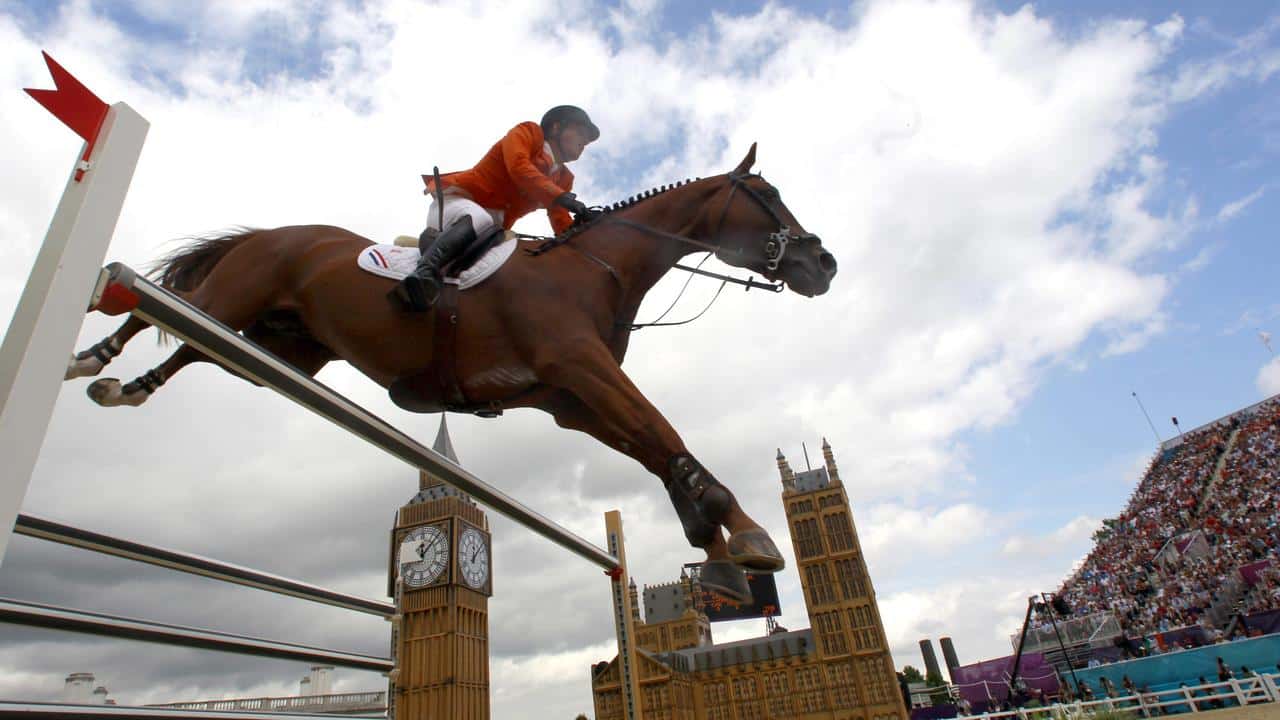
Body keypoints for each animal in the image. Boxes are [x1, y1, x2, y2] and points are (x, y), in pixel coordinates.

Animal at [67, 142, 839, 597]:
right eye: (768, 194)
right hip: (238, 296)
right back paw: (92, 352)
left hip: (276, 350)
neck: (599, 271)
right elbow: (664, 432)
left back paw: (124, 387)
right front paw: (746, 533)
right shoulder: (582, 370)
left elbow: (657, 450)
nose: (823, 263)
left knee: (193, 343)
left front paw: (717, 551)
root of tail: (275, 234)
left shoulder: (571, 401)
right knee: (166, 307)